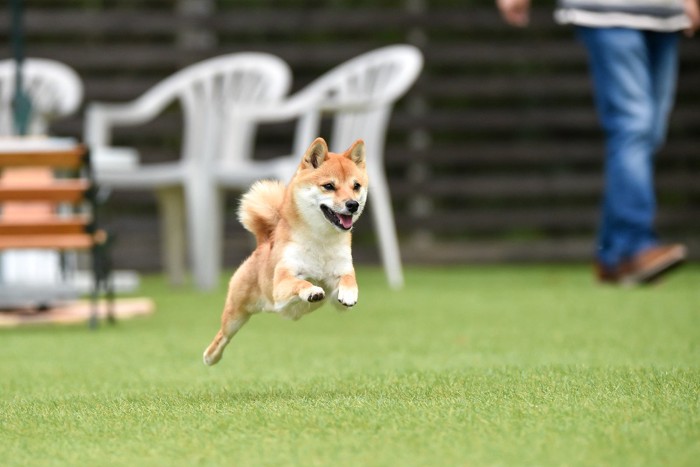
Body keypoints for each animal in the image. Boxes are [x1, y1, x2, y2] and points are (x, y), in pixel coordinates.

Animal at [202, 137, 370, 368]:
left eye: (356, 186)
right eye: (329, 186)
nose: (352, 204)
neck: (321, 241)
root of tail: (264, 242)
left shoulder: (340, 277)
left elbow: (348, 279)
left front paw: (349, 293)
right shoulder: (282, 283)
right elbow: (300, 282)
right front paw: (311, 290)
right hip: (236, 313)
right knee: (223, 336)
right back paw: (211, 356)